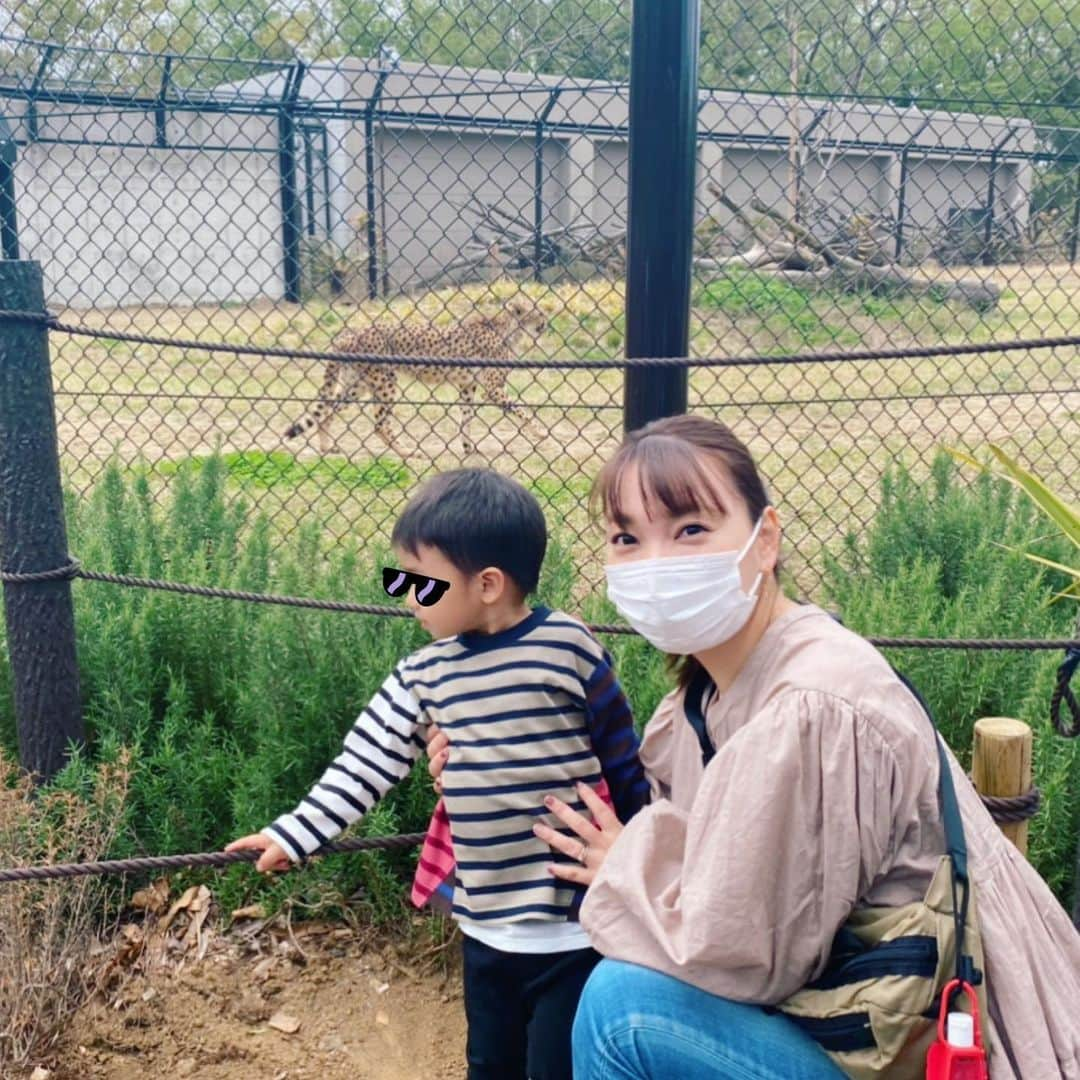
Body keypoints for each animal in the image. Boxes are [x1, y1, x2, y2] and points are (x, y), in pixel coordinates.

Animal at [285, 300, 548, 455]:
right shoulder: (492, 388)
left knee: (327, 411)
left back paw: (326, 446)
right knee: (379, 424)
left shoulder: (467, 385)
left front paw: (468, 448)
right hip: (385, 383)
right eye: (538, 311)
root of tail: (349, 334)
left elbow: (466, 418)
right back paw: (406, 452)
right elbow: (522, 410)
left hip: (356, 385)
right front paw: (541, 433)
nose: (547, 321)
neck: (510, 328)